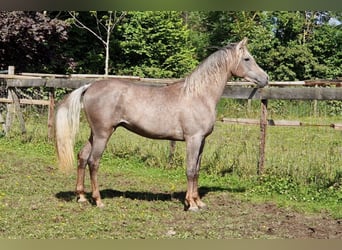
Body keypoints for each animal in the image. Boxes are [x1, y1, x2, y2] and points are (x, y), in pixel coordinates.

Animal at [56, 38, 268, 211]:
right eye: (247, 59)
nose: (265, 79)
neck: (198, 95)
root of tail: (89, 87)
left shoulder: (202, 141)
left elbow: (197, 170)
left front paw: (198, 202)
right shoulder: (193, 139)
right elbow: (190, 170)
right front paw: (191, 204)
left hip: (95, 134)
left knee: (82, 156)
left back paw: (81, 197)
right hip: (103, 133)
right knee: (94, 162)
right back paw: (98, 200)